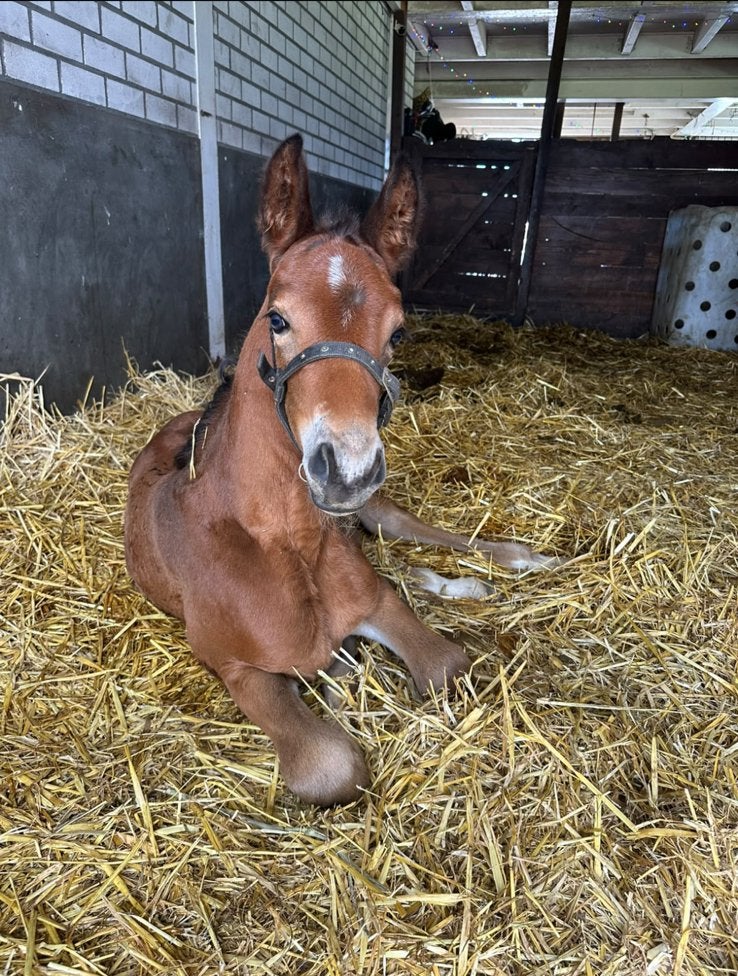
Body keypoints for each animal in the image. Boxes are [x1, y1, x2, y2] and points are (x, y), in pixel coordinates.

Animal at [124, 134, 555, 806]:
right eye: (277, 318)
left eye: (398, 332)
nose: (346, 470)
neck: (288, 544)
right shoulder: (234, 665)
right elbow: (331, 765)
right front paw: (338, 676)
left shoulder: (377, 602)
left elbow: (447, 667)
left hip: (379, 512)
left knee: (413, 535)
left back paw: (511, 562)